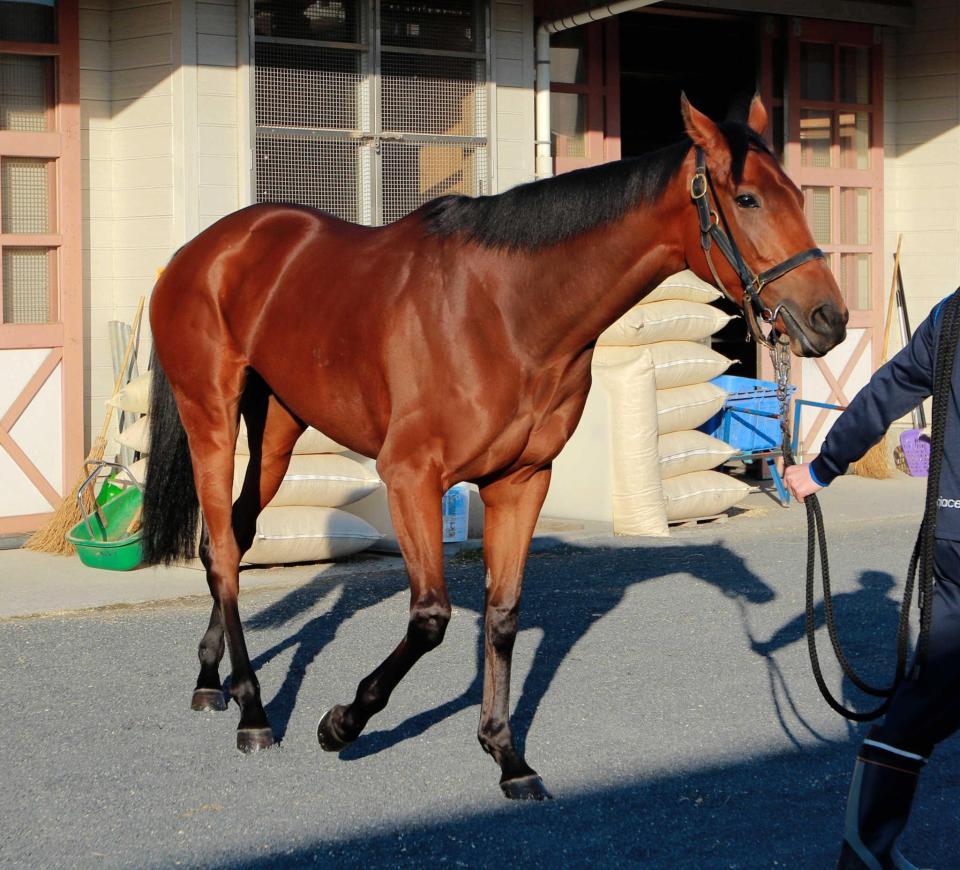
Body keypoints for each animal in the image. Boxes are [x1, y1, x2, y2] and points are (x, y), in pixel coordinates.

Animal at [142, 93, 848, 796]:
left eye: (799, 195)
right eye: (748, 198)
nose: (830, 320)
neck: (506, 312)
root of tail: (201, 250)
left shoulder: (522, 479)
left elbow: (502, 613)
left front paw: (507, 755)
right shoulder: (411, 477)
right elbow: (430, 616)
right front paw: (342, 723)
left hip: (280, 430)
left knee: (230, 538)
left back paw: (212, 680)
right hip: (211, 417)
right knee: (223, 550)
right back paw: (254, 711)